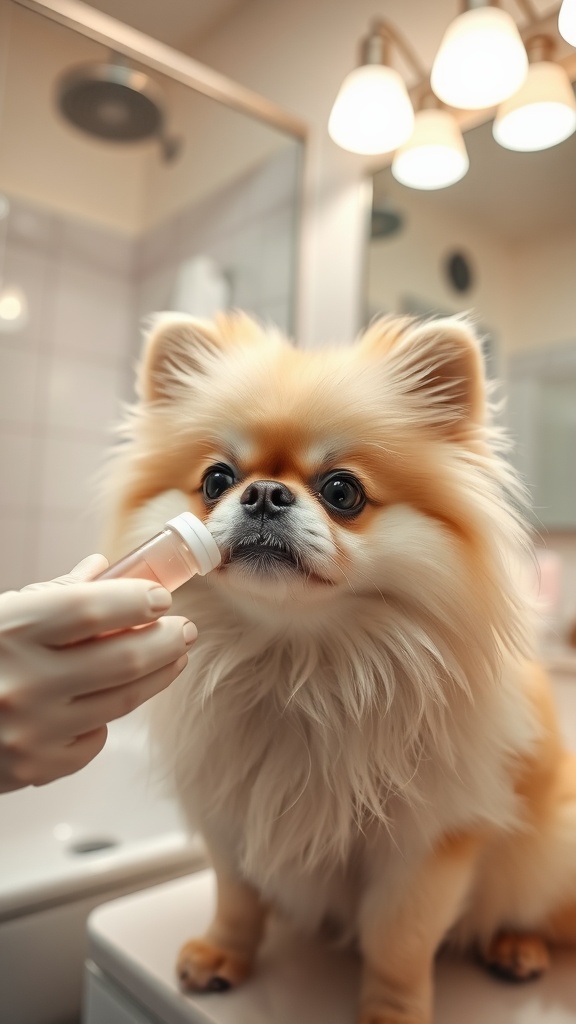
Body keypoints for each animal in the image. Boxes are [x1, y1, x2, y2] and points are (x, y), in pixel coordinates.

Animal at [101, 311, 573, 1024]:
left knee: (539, 913)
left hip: (548, 853)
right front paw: (223, 954)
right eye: (216, 480)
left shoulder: (426, 845)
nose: (265, 493)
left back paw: (518, 945)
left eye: (342, 491)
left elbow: (398, 940)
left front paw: (392, 1012)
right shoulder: (229, 815)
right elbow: (236, 898)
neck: (294, 663)